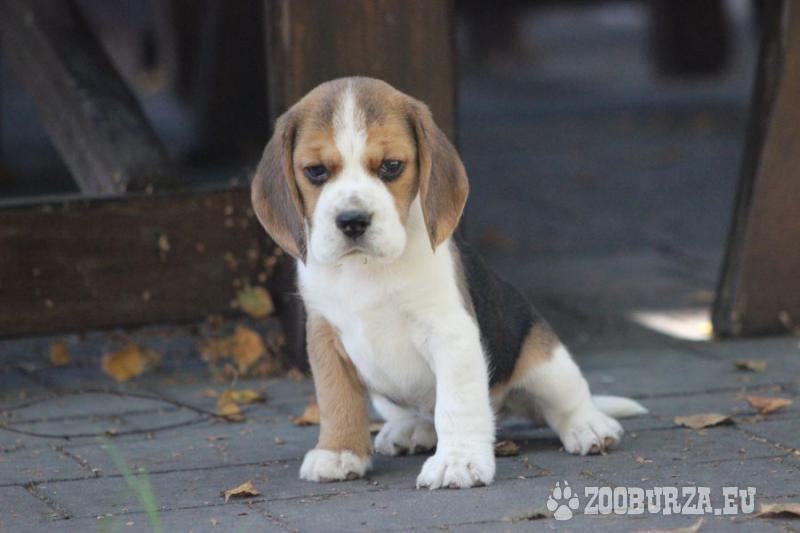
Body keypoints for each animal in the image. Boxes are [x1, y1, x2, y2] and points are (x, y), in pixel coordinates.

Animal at [251, 77, 647, 489]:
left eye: (391, 166)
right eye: (315, 171)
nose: (352, 220)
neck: (365, 269)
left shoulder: (450, 333)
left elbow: (456, 405)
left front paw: (458, 461)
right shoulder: (324, 336)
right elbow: (336, 398)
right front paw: (339, 452)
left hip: (545, 360)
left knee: (567, 400)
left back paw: (589, 426)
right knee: (421, 415)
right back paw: (410, 430)